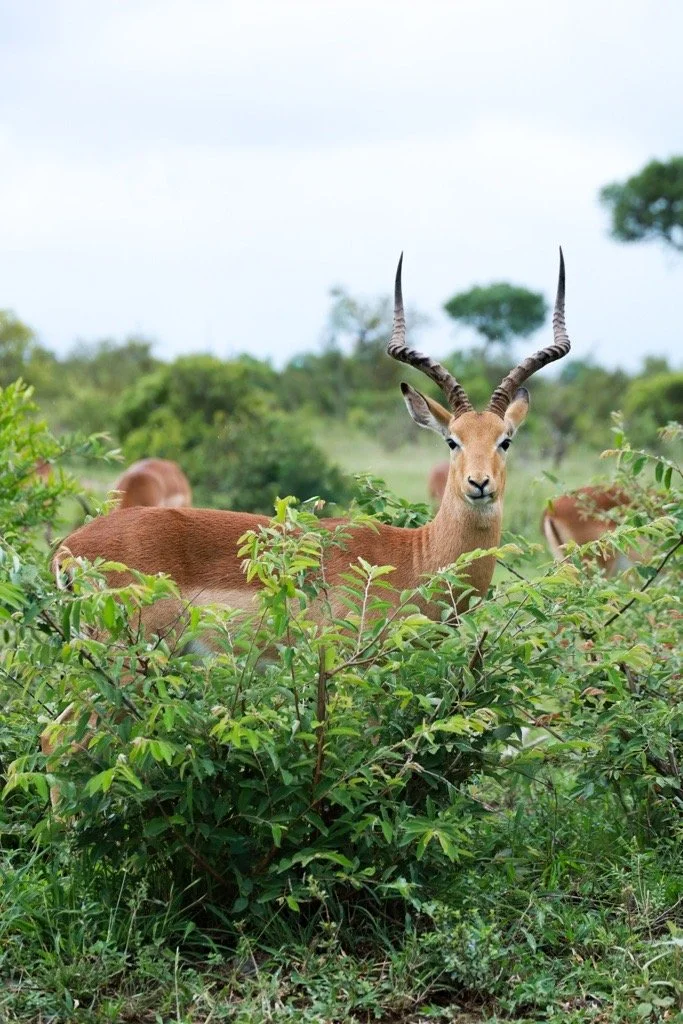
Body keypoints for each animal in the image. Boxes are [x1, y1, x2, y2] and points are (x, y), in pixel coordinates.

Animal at [43, 251, 572, 799]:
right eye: (452, 440)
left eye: (505, 439)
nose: (479, 483)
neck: (416, 558)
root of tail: (68, 550)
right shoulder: (353, 672)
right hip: (128, 662)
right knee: (60, 738)